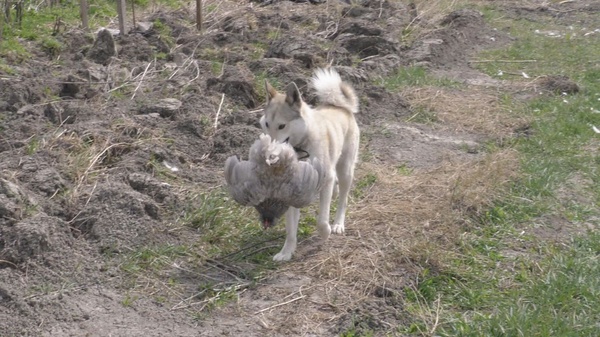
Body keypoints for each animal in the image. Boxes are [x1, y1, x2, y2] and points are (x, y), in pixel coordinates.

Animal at [258, 66, 360, 260]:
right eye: (266, 124)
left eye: (282, 126)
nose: (268, 155)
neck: (301, 148)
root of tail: (340, 107)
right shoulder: (291, 188)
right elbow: (290, 230)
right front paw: (286, 252)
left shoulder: (326, 179)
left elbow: (321, 220)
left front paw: (325, 233)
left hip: (345, 170)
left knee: (343, 199)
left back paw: (338, 224)